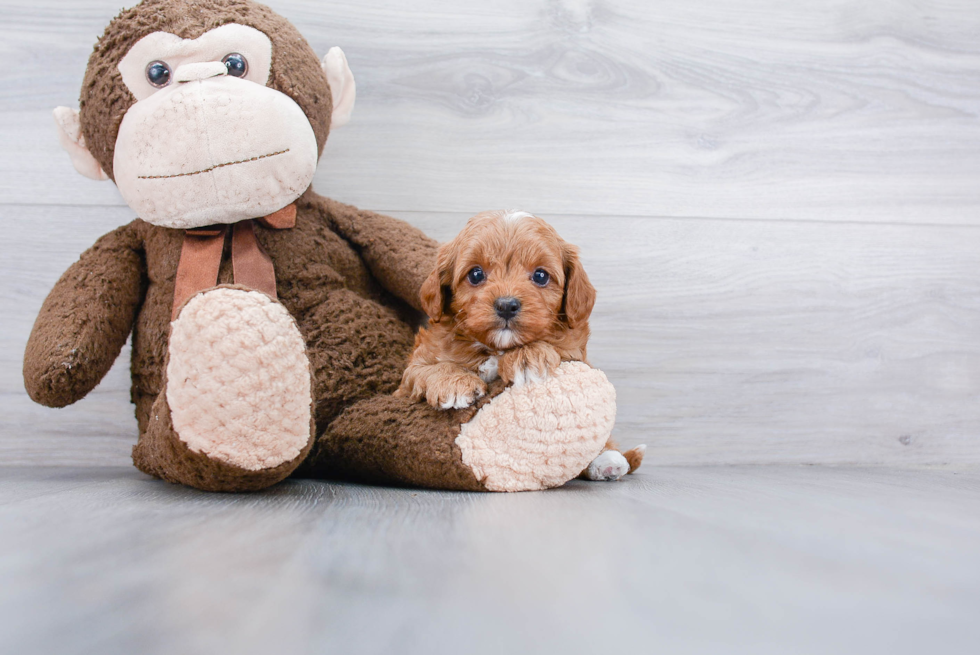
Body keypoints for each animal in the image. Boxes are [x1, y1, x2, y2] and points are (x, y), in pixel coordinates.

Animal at [394, 210, 648, 482]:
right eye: (475, 274)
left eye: (540, 276)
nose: (506, 305)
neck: (495, 348)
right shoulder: (408, 378)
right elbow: (427, 369)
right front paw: (453, 382)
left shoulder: (574, 353)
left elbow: (554, 346)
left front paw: (528, 356)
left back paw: (607, 461)